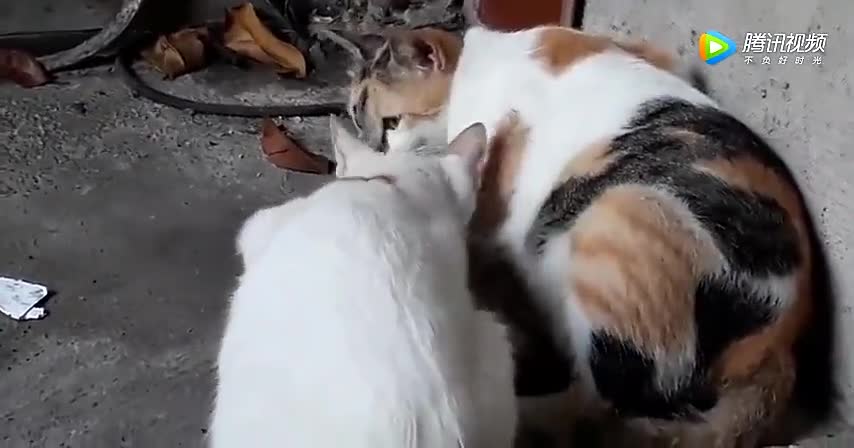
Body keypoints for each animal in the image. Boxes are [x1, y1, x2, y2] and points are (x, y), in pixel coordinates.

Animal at [343, 25, 823, 447]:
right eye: (354, 117)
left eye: (391, 123)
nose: (370, 155)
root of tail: (780, 348)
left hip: (619, 224)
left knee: (595, 408)